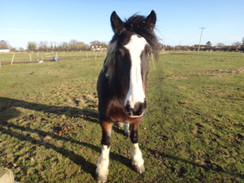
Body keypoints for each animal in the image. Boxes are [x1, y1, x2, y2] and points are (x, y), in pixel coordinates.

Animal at [95, 10, 158, 182]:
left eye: (149, 52)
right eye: (119, 52)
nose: (135, 106)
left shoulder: (138, 118)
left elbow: (135, 138)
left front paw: (137, 161)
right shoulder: (104, 119)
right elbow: (106, 141)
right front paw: (102, 169)